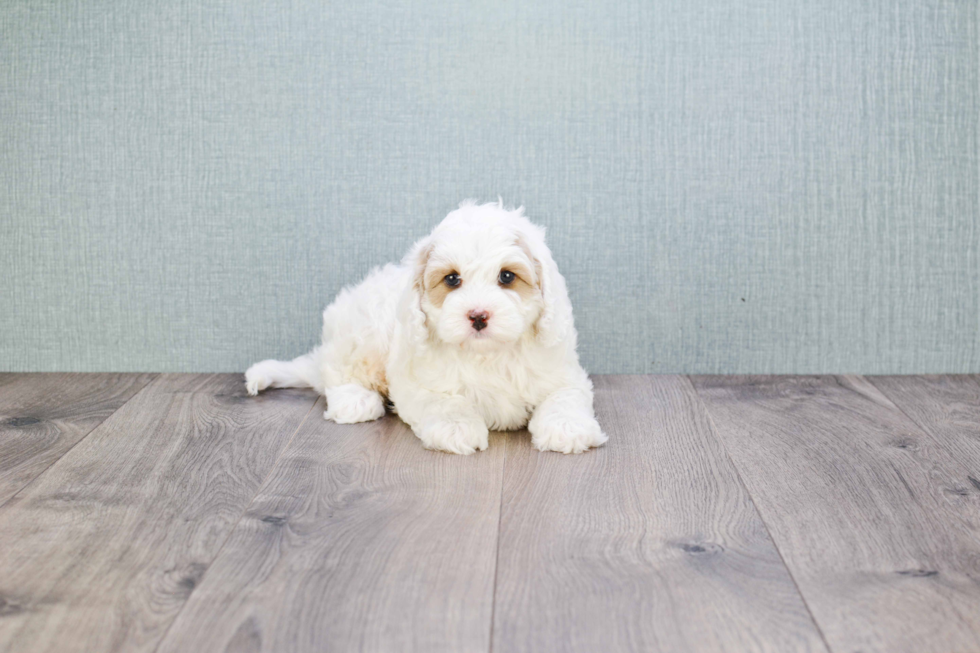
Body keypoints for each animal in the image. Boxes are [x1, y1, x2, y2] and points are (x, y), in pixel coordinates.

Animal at [245, 199, 604, 454]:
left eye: (506, 276)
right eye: (452, 279)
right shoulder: (416, 382)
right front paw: (456, 428)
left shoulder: (562, 373)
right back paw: (355, 400)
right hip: (362, 331)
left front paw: (567, 428)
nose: (478, 315)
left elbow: (563, 397)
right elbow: (445, 402)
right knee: (338, 371)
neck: (487, 354)